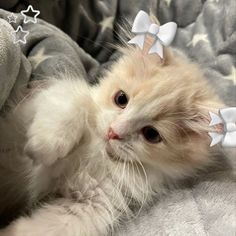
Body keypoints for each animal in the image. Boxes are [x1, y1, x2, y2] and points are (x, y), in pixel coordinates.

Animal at [0, 37, 222, 236]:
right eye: (121, 99)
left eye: (151, 134)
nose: (112, 132)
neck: (97, 151)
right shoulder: (39, 101)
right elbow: (77, 99)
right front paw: (46, 146)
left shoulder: (89, 206)